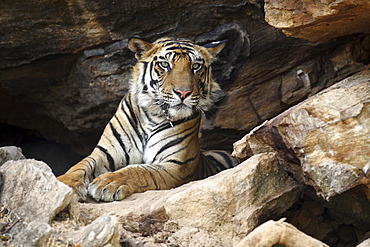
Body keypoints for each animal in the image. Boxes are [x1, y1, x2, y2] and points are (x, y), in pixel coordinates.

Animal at [57, 37, 237, 203]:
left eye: (195, 66)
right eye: (165, 64)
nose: (183, 93)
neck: (153, 115)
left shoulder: (178, 165)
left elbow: (140, 170)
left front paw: (108, 182)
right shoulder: (104, 152)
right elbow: (79, 166)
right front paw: (64, 185)